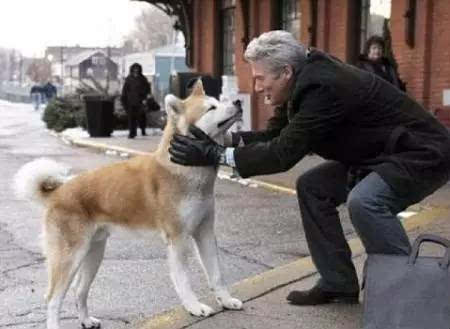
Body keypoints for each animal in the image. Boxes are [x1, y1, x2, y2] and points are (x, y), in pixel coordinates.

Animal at [14, 80, 244, 328]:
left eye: (218, 100)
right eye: (211, 107)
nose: (238, 101)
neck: (183, 169)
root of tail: (58, 192)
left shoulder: (205, 232)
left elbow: (217, 274)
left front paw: (226, 300)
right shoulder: (178, 239)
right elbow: (184, 281)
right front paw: (194, 307)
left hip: (94, 253)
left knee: (79, 291)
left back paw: (86, 320)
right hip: (69, 258)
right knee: (53, 299)